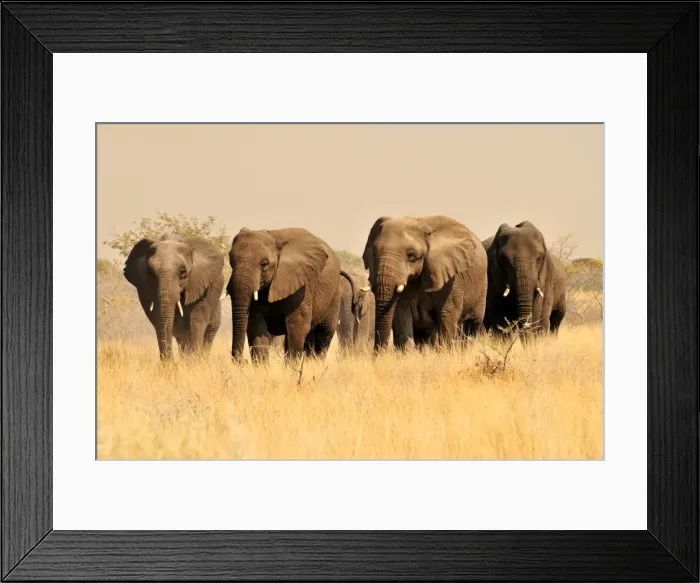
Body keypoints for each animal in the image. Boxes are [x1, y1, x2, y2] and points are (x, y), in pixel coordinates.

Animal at [225, 227, 342, 363]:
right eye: (231, 262)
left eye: (264, 264)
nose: (242, 361)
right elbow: (256, 327)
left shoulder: (301, 286)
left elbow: (298, 326)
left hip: (334, 294)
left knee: (324, 334)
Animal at [362, 215, 488, 350]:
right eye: (374, 253)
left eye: (411, 255)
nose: (378, 353)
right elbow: (402, 312)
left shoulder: (451, 276)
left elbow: (447, 311)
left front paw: (446, 351)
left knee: (472, 323)